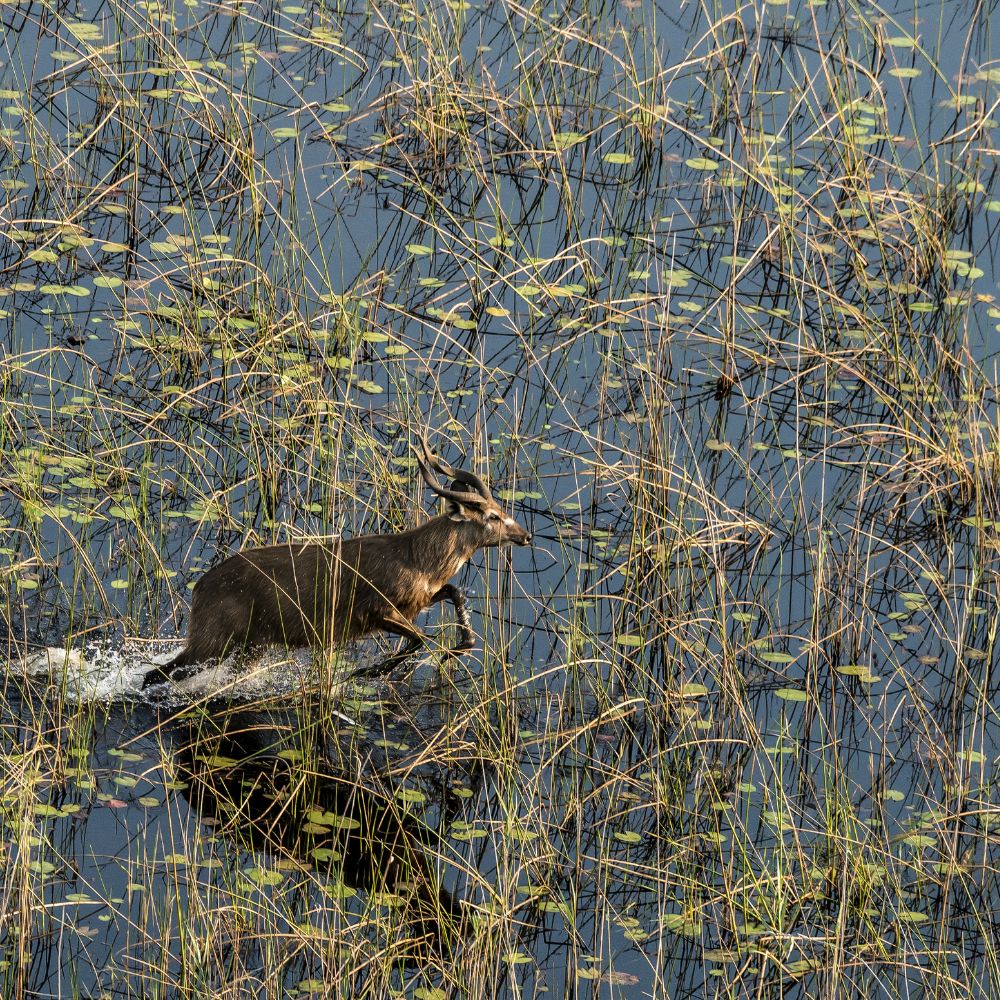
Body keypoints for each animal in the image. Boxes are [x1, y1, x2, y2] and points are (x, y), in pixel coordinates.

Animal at [141, 434, 532, 689]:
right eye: (492, 516)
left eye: (500, 508)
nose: (525, 535)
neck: (418, 559)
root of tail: (198, 590)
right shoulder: (376, 609)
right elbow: (421, 638)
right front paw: (368, 672)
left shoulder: (416, 600)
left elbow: (454, 593)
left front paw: (461, 645)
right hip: (216, 637)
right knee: (155, 674)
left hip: (248, 645)